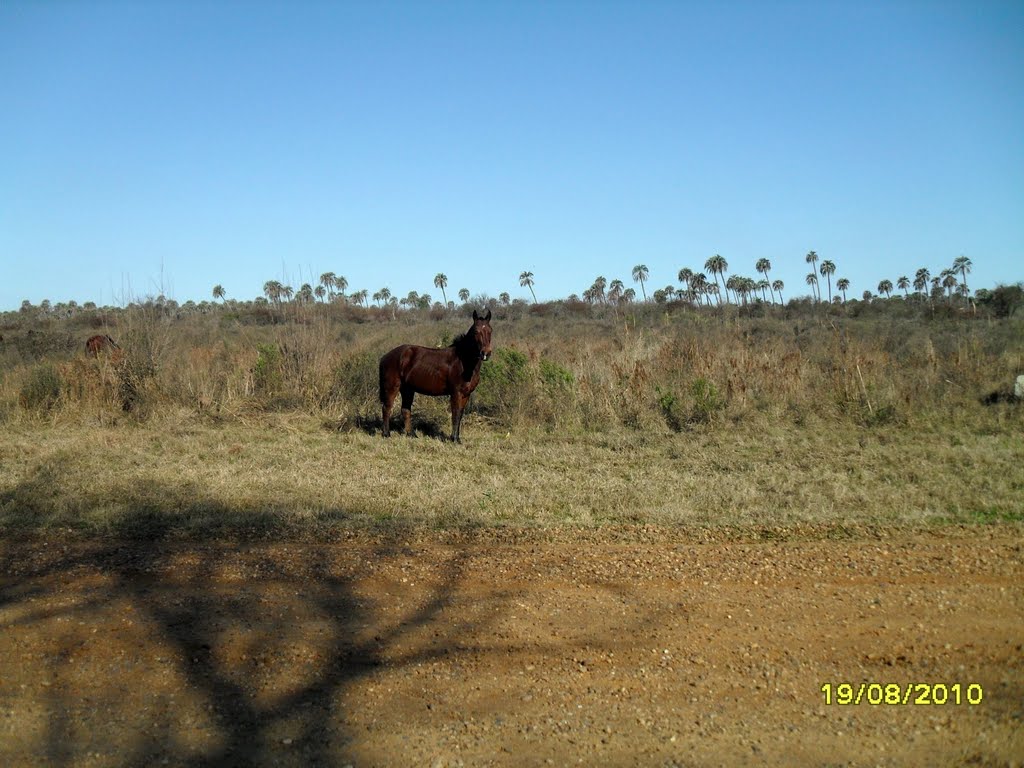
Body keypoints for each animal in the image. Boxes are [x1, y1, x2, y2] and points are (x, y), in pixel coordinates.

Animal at [378, 311, 493, 444]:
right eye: (476, 331)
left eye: (490, 330)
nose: (486, 353)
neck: (463, 361)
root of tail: (385, 356)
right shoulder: (456, 393)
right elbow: (455, 414)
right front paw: (454, 439)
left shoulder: (466, 394)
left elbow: (460, 415)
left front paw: (457, 439)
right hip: (392, 387)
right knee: (387, 408)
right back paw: (386, 434)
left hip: (407, 389)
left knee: (405, 410)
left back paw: (411, 434)